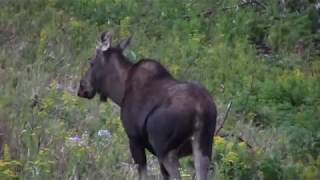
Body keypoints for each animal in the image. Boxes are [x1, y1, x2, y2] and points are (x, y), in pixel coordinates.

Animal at [78, 31, 218, 179]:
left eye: (91, 62)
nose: (82, 87)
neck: (120, 92)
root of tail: (200, 111)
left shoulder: (134, 139)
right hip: (204, 147)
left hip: (165, 149)